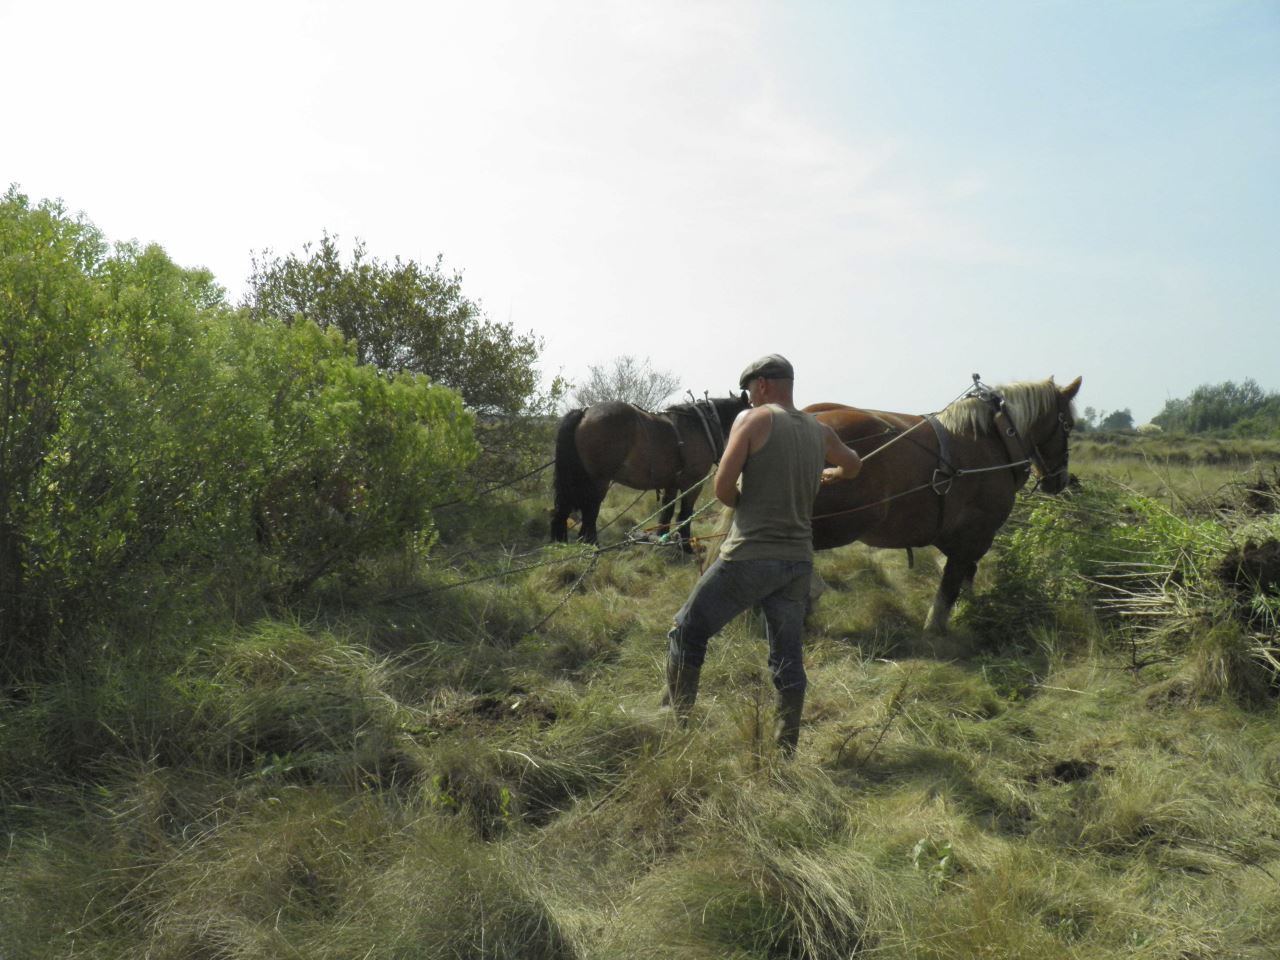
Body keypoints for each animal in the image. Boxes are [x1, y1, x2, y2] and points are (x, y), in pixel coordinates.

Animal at [550, 394, 747, 552]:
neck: (701, 425)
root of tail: (585, 412)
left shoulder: (671, 484)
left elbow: (667, 512)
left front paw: (662, 541)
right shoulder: (692, 483)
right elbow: (685, 514)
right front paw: (686, 546)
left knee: (564, 509)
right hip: (599, 481)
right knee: (590, 512)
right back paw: (593, 545)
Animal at [808, 378, 1080, 634]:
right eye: (1068, 425)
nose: (1062, 479)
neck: (996, 438)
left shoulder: (950, 534)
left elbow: (965, 576)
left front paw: (968, 610)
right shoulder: (974, 534)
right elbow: (950, 586)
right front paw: (937, 627)